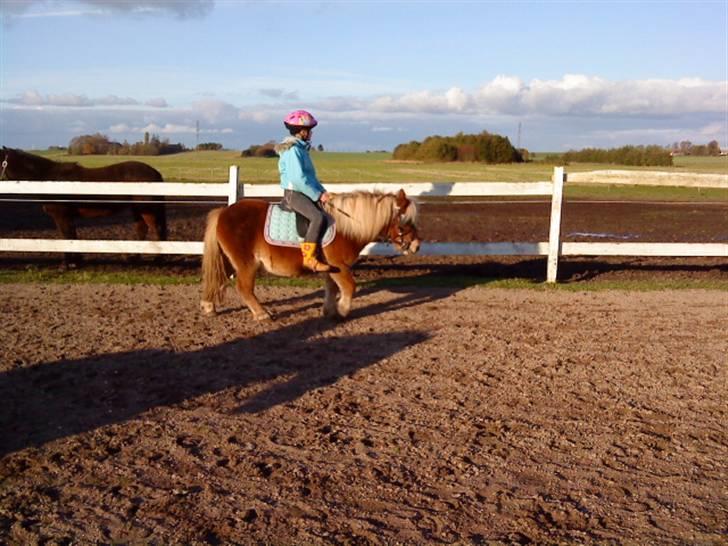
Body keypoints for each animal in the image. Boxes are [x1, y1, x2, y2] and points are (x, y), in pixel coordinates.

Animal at [1, 147, 168, 268]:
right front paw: (76, 261)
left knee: (156, 229)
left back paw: (158, 260)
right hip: (138, 209)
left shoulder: (61, 216)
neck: (49, 178)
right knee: (142, 229)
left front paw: (66, 264)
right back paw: (133, 258)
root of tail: (155, 173)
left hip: (146, 209)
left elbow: (66, 236)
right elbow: (72, 236)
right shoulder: (68, 217)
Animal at [200, 190, 420, 320]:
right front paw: (343, 310)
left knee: (217, 278)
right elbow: (349, 287)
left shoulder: (332, 267)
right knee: (244, 288)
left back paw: (209, 306)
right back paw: (262, 314)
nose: (416, 246)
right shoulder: (340, 265)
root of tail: (223, 211)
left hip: (228, 260)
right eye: (403, 223)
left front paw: (330, 310)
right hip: (246, 263)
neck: (347, 226)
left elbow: (332, 287)